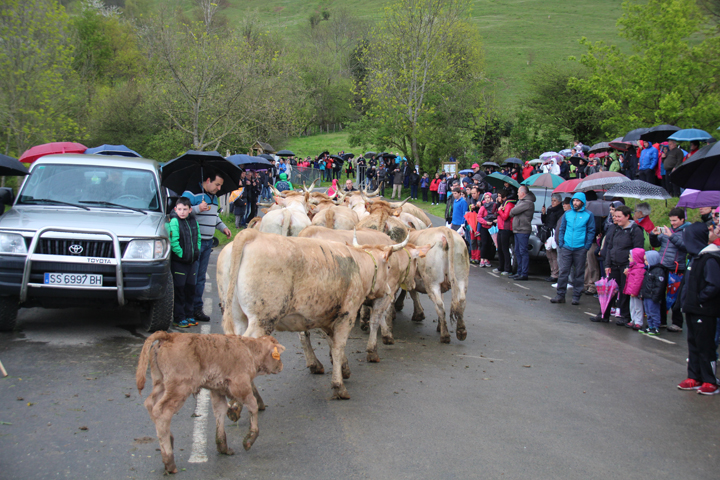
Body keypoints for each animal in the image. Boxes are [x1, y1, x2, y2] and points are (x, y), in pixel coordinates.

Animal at [135, 332, 284, 474]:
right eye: (277, 355)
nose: (281, 366)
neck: (248, 349)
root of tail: (168, 336)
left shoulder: (218, 390)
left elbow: (220, 411)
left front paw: (223, 447)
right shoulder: (240, 386)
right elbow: (252, 405)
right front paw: (249, 439)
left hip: (160, 384)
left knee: (150, 404)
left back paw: (170, 441)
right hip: (179, 388)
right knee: (162, 412)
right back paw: (169, 462)